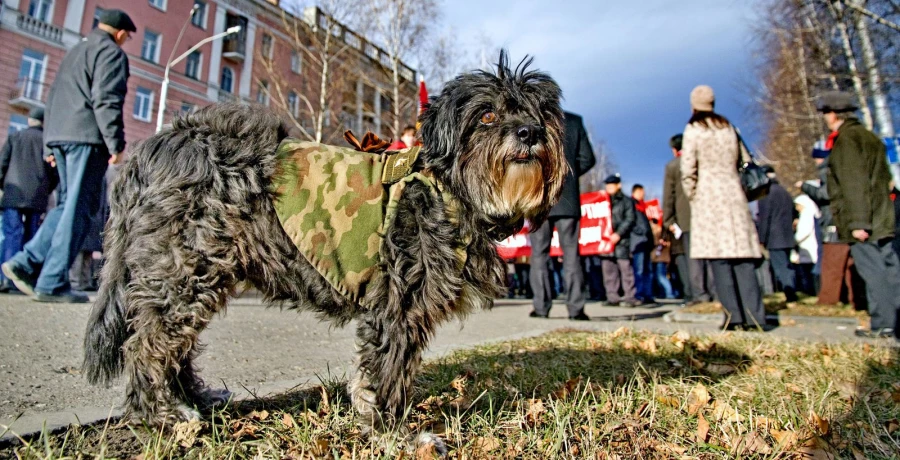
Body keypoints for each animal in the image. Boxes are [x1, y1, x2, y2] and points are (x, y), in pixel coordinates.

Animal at [81, 52, 568, 448]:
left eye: (541, 112)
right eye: (486, 115)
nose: (529, 132)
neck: (446, 187)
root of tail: (155, 148)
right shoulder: (397, 303)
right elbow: (387, 371)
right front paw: (396, 435)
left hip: (200, 273)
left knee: (175, 343)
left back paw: (196, 398)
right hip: (184, 268)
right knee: (148, 344)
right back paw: (161, 416)